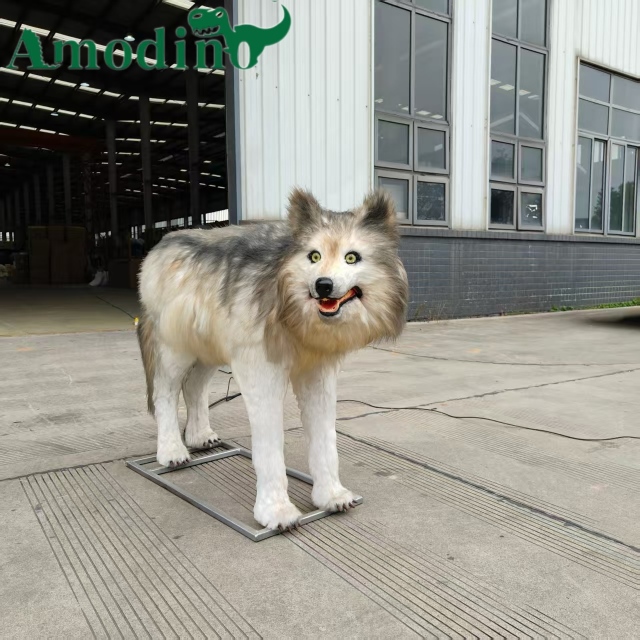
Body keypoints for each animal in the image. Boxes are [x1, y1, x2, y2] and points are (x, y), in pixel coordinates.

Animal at [137, 189, 408, 530]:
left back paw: (200, 438)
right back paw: (172, 451)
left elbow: (325, 440)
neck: (290, 308)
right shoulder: (261, 373)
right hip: (177, 350)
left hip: (210, 351)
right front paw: (276, 512)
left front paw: (332, 496)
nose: (323, 285)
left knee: (194, 387)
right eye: (314, 256)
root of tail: (159, 245)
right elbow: (269, 447)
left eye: (351, 257)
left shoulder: (318, 374)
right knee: (165, 392)